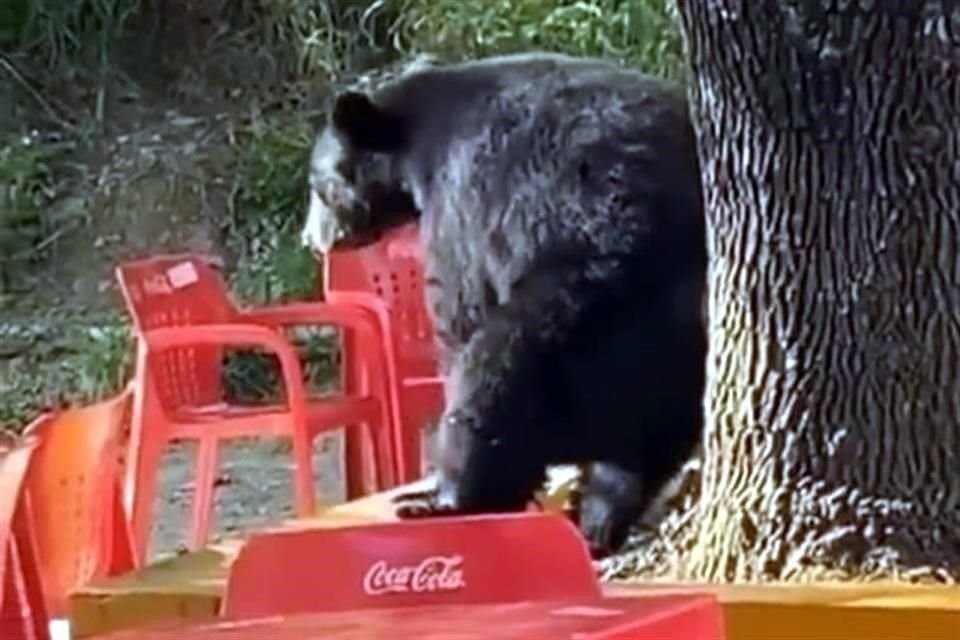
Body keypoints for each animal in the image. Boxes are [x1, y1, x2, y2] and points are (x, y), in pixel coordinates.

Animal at [300, 52, 704, 556]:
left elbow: (459, 305)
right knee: (644, 448)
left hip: (570, 314)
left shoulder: (463, 198)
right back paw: (597, 518)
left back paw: (449, 498)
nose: (311, 239)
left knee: (494, 374)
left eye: (318, 184)